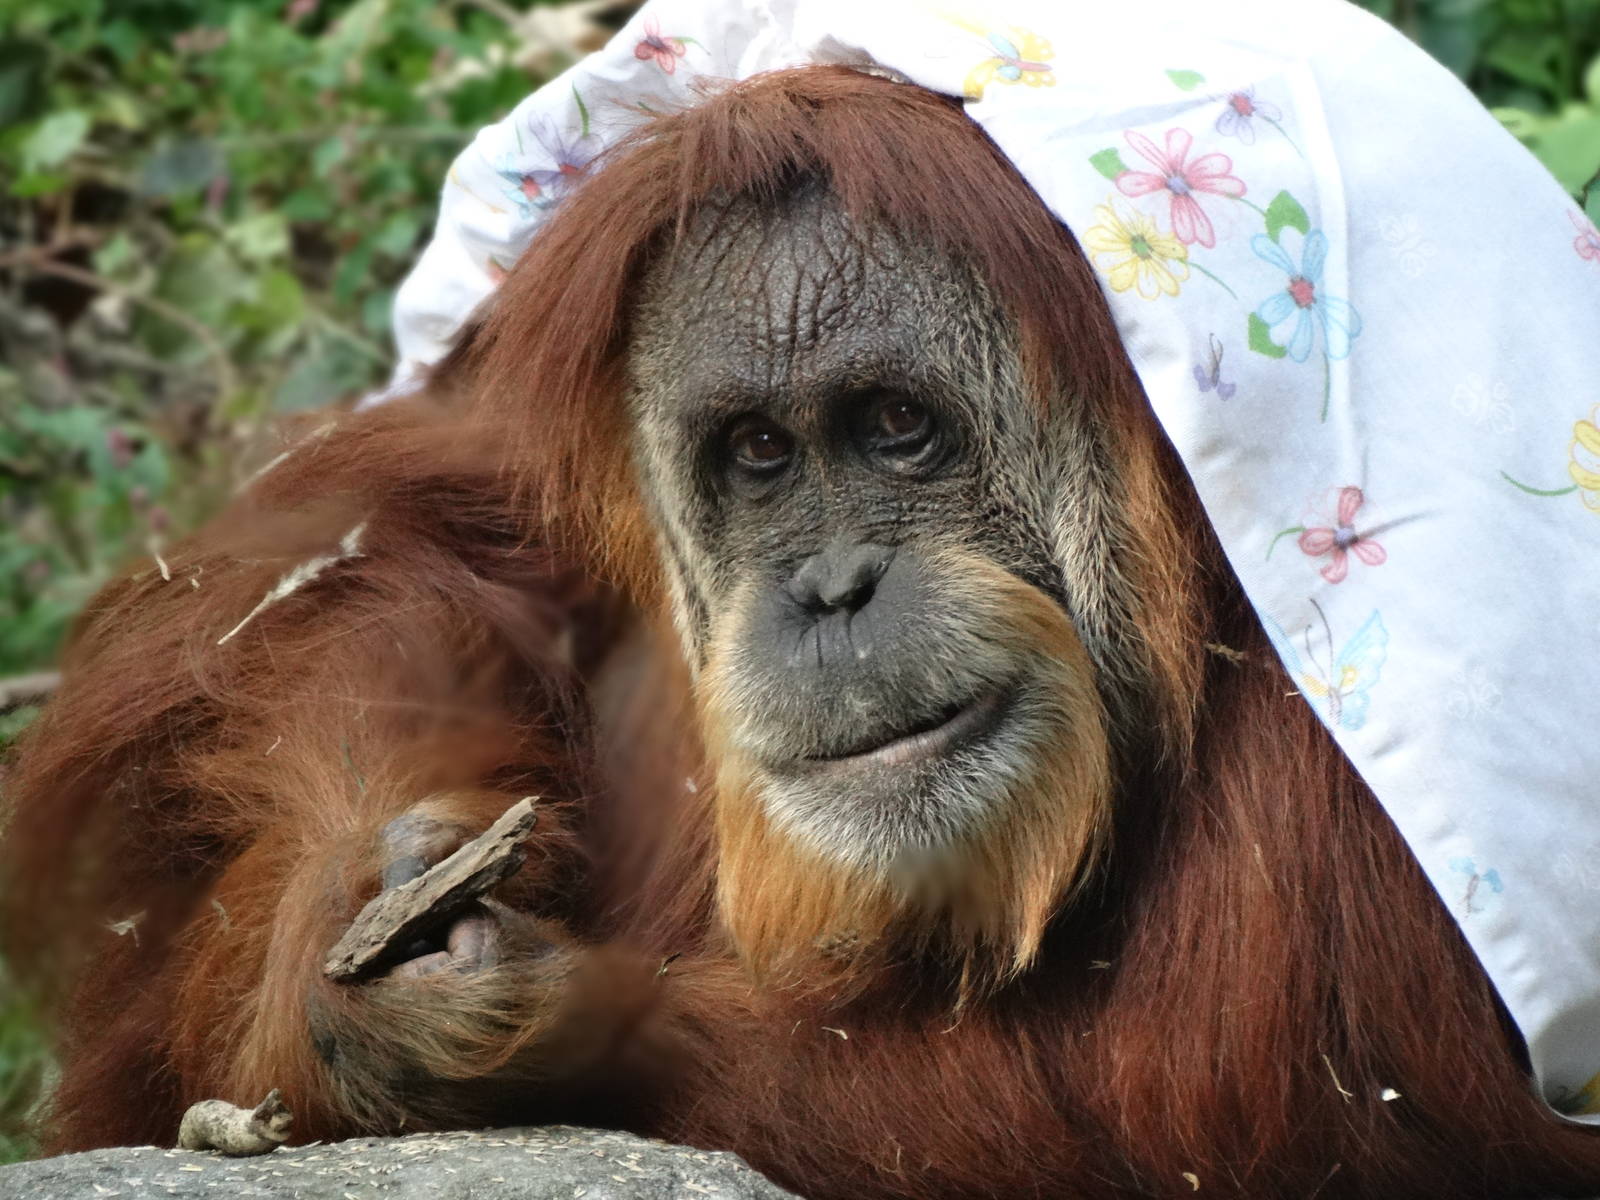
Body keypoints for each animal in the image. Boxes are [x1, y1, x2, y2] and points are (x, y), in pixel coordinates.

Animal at [6, 67, 1600, 1199]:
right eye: (761, 454)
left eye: (896, 426)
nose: (831, 591)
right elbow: (351, 557)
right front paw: (362, 907)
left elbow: (1210, 1108)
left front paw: (557, 1023)